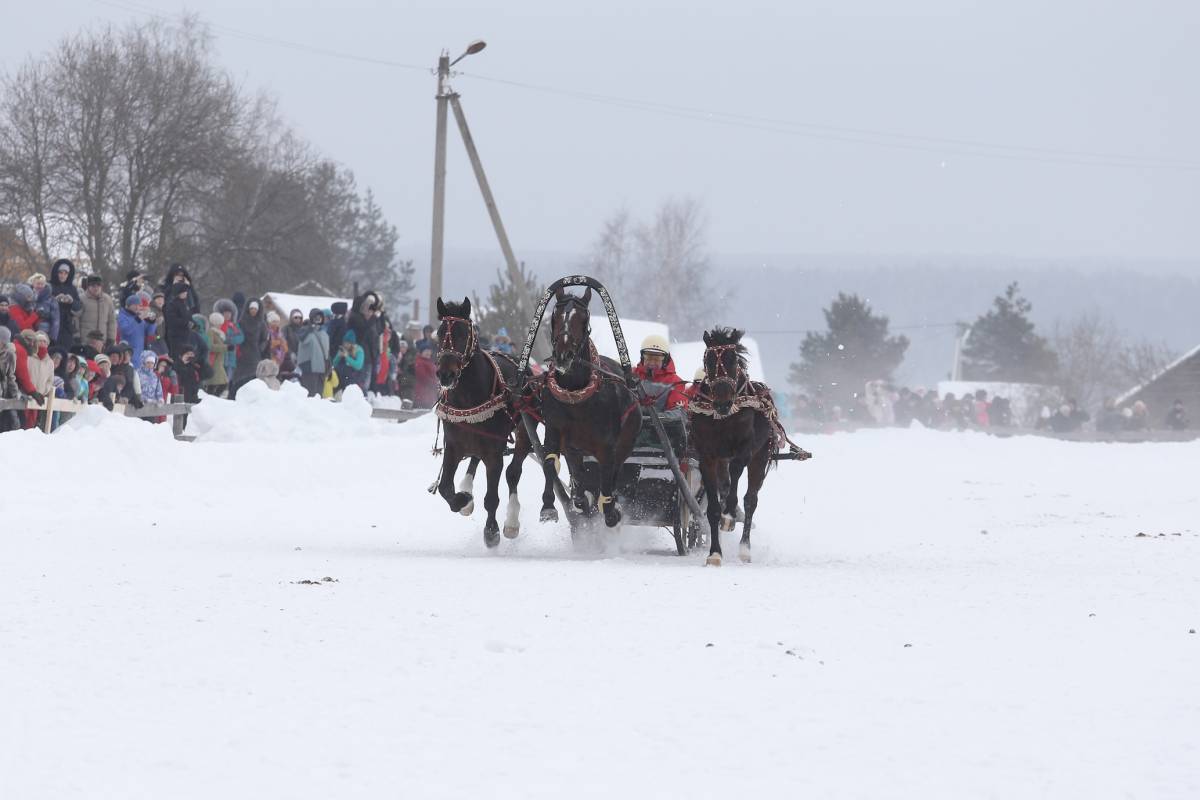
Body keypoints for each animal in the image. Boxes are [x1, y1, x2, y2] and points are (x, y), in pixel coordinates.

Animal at [436, 297, 556, 546]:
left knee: (513, 472)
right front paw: (462, 499)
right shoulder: (453, 446)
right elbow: (445, 488)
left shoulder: (493, 452)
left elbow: (492, 497)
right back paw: (467, 490)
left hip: (524, 430)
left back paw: (512, 520)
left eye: (462, 333)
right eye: (440, 332)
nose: (445, 375)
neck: (468, 398)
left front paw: (491, 531)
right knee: (474, 459)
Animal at [540, 284, 643, 527]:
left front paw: (611, 510)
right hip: (575, 449)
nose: (564, 355)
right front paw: (549, 506)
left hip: (626, 443)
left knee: (614, 472)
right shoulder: (555, 431)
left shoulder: (607, 447)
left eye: (583, 318)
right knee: (578, 472)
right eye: (556, 316)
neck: (576, 397)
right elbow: (550, 463)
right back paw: (581, 499)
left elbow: (607, 476)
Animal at [691, 328, 782, 566]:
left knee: (750, 500)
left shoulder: (744, 450)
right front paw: (714, 553)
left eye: (732, 360)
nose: (722, 403)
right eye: (708, 361)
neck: (724, 418)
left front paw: (730, 514)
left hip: (761, 455)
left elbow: (736, 479)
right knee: (726, 485)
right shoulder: (708, 456)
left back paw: (744, 548)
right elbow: (713, 508)